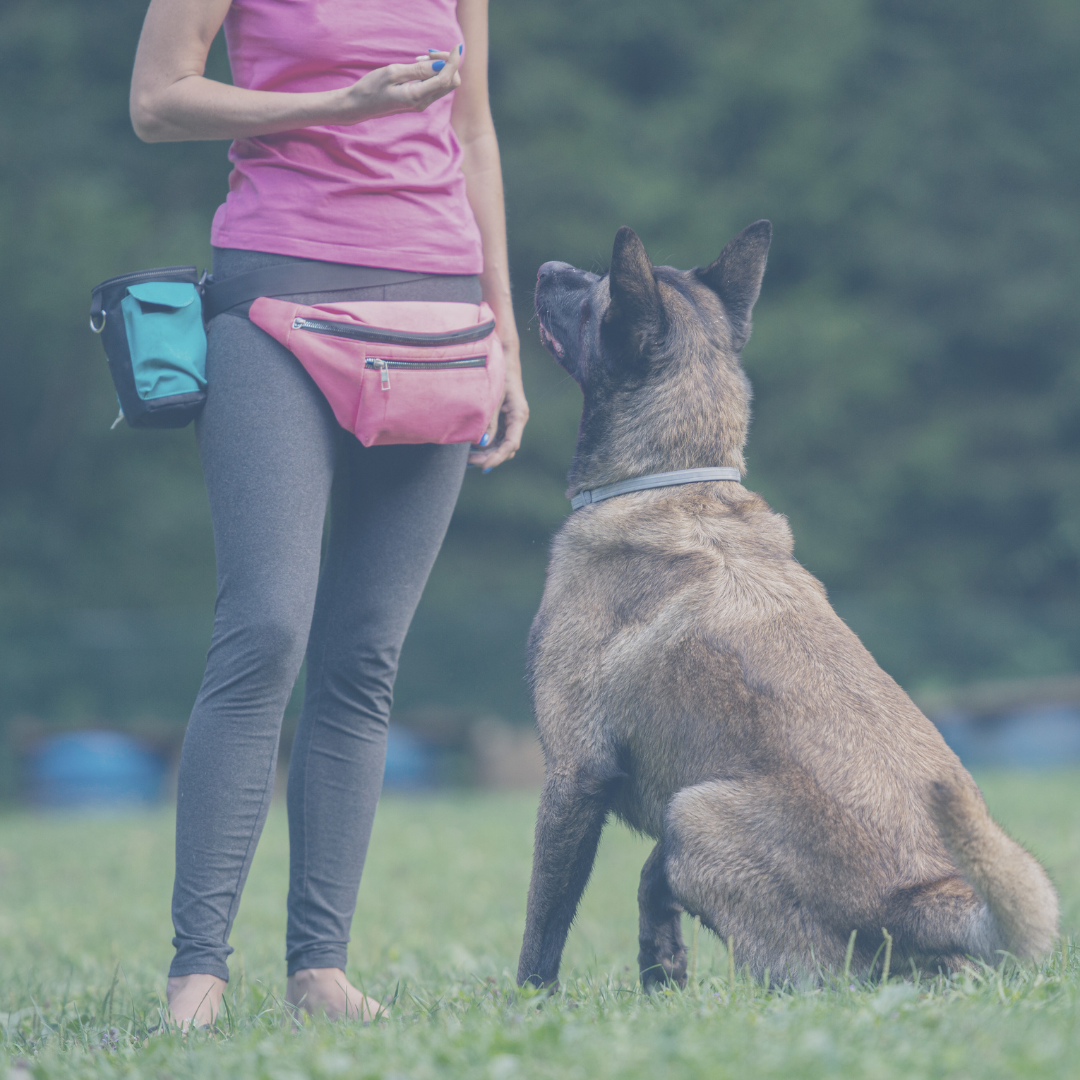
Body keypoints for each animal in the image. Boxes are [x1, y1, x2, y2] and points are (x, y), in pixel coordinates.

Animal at [518, 223, 1058, 989]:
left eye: (594, 295)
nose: (546, 265)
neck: (673, 479)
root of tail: (924, 899)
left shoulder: (573, 775)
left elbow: (545, 922)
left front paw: (528, 1003)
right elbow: (651, 885)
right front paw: (662, 974)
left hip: (696, 811)